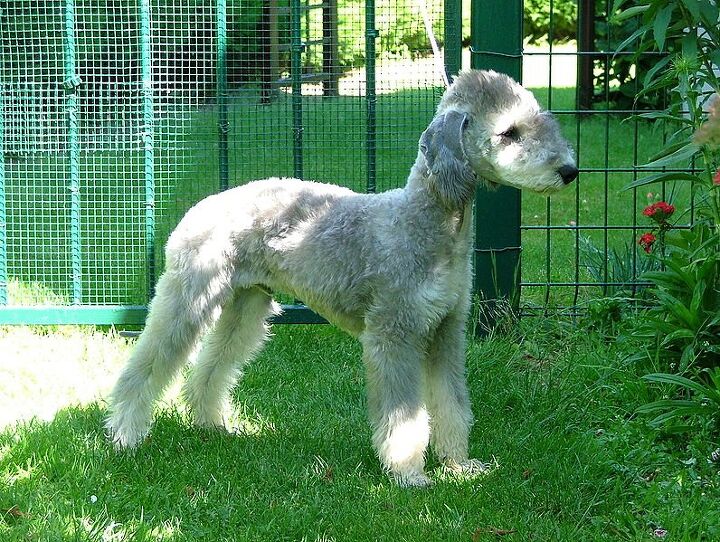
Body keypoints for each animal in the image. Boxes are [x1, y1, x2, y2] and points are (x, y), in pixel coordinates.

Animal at [108, 69, 580, 488]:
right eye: (508, 132)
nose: (570, 171)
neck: (426, 222)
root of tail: (198, 207)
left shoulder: (446, 331)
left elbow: (452, 403)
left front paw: (459, 466)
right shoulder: (394, 333)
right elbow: (404, 415)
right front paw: (409, 474)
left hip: (247, 303)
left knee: (211, 367)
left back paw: (209, 425)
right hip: (189, 296)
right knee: (145, 365)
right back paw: (124, 435)